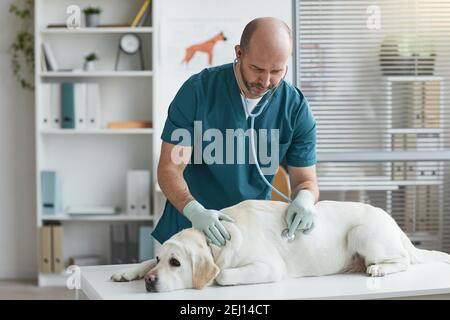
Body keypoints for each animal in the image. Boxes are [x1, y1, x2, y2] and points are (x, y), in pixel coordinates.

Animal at [110, 200, 450, 292]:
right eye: (160, 259)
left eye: (176, 263)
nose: (150, 282)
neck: (216, 240)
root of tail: (394, 223)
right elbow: (141, 262)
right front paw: (129, 272)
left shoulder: (269, 267)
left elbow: (222, 273)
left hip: (362, 233)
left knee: (403, 260)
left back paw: (378, 268)